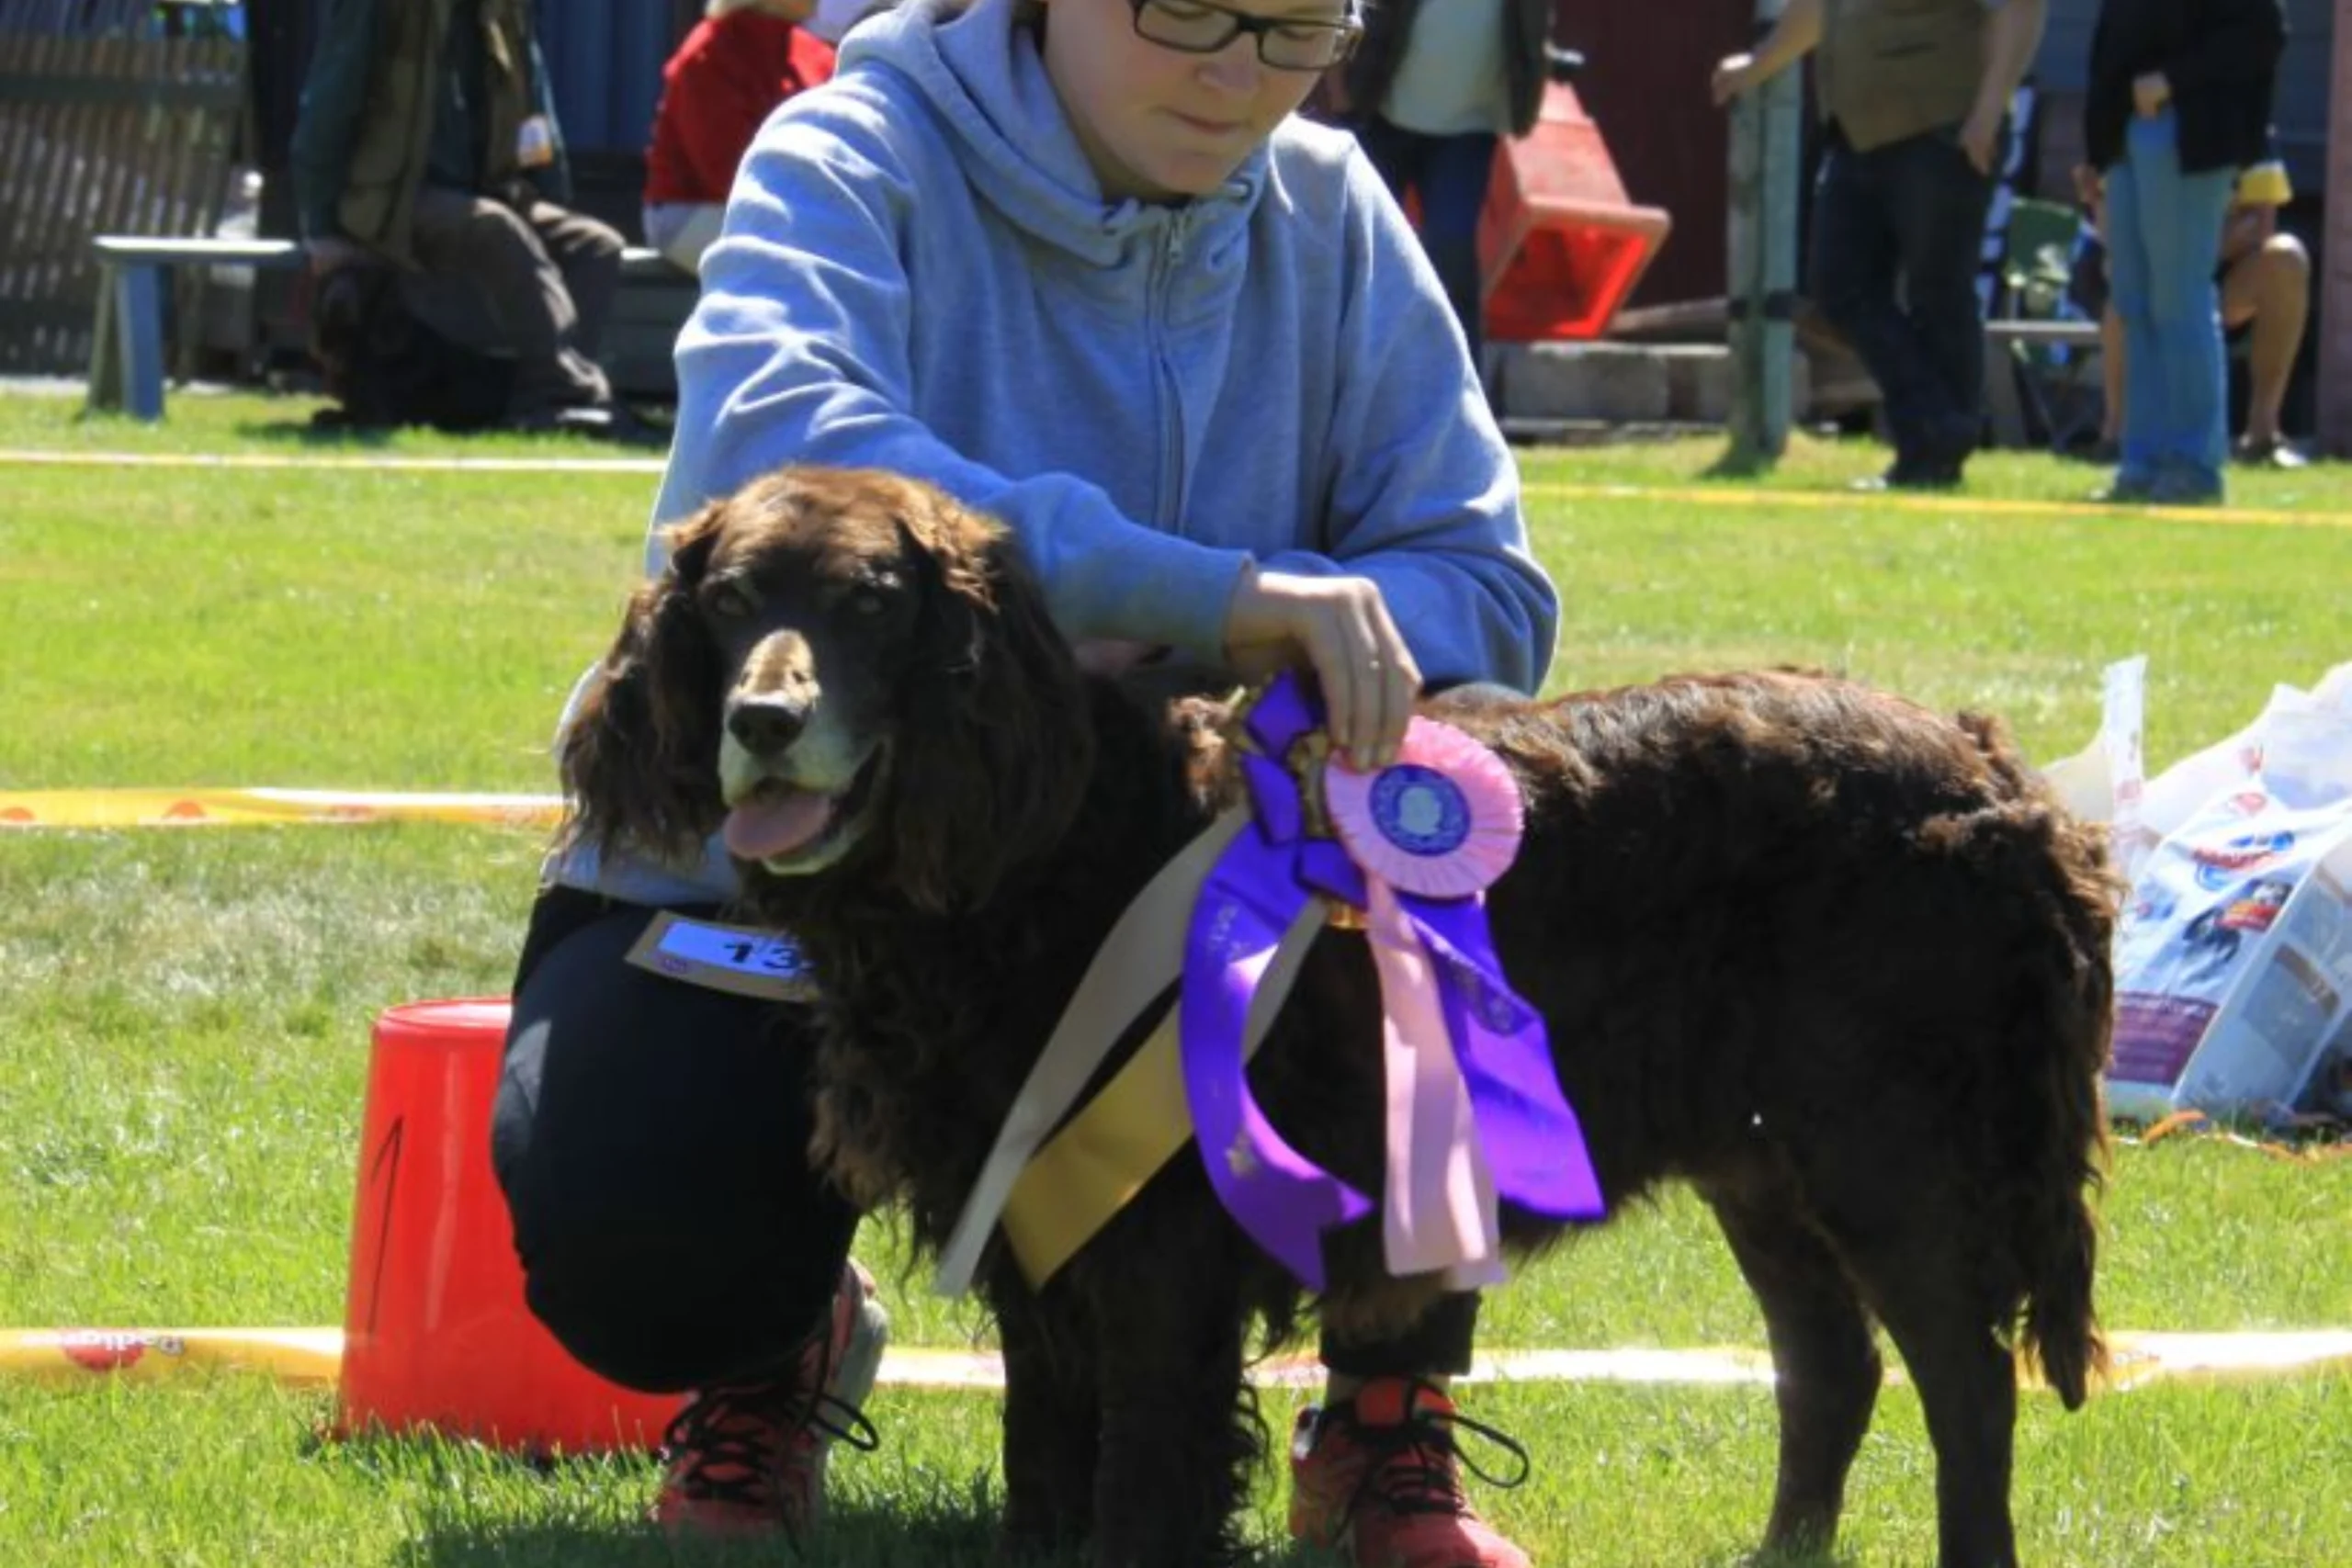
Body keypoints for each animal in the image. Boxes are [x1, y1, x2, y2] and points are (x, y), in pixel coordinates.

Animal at [560, 463, 2126, 1568]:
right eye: (729, 601)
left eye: (876, 602)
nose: (764, 721)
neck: (1036, 846)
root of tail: (1996, 771)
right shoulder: (1036, 1217)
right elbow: (1043, 1454)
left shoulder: (1161, 1244)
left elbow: (1141, 1475)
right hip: (1763, 1157)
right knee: (1832, 1366)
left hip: (1887, 1147)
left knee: (1963, 1382)